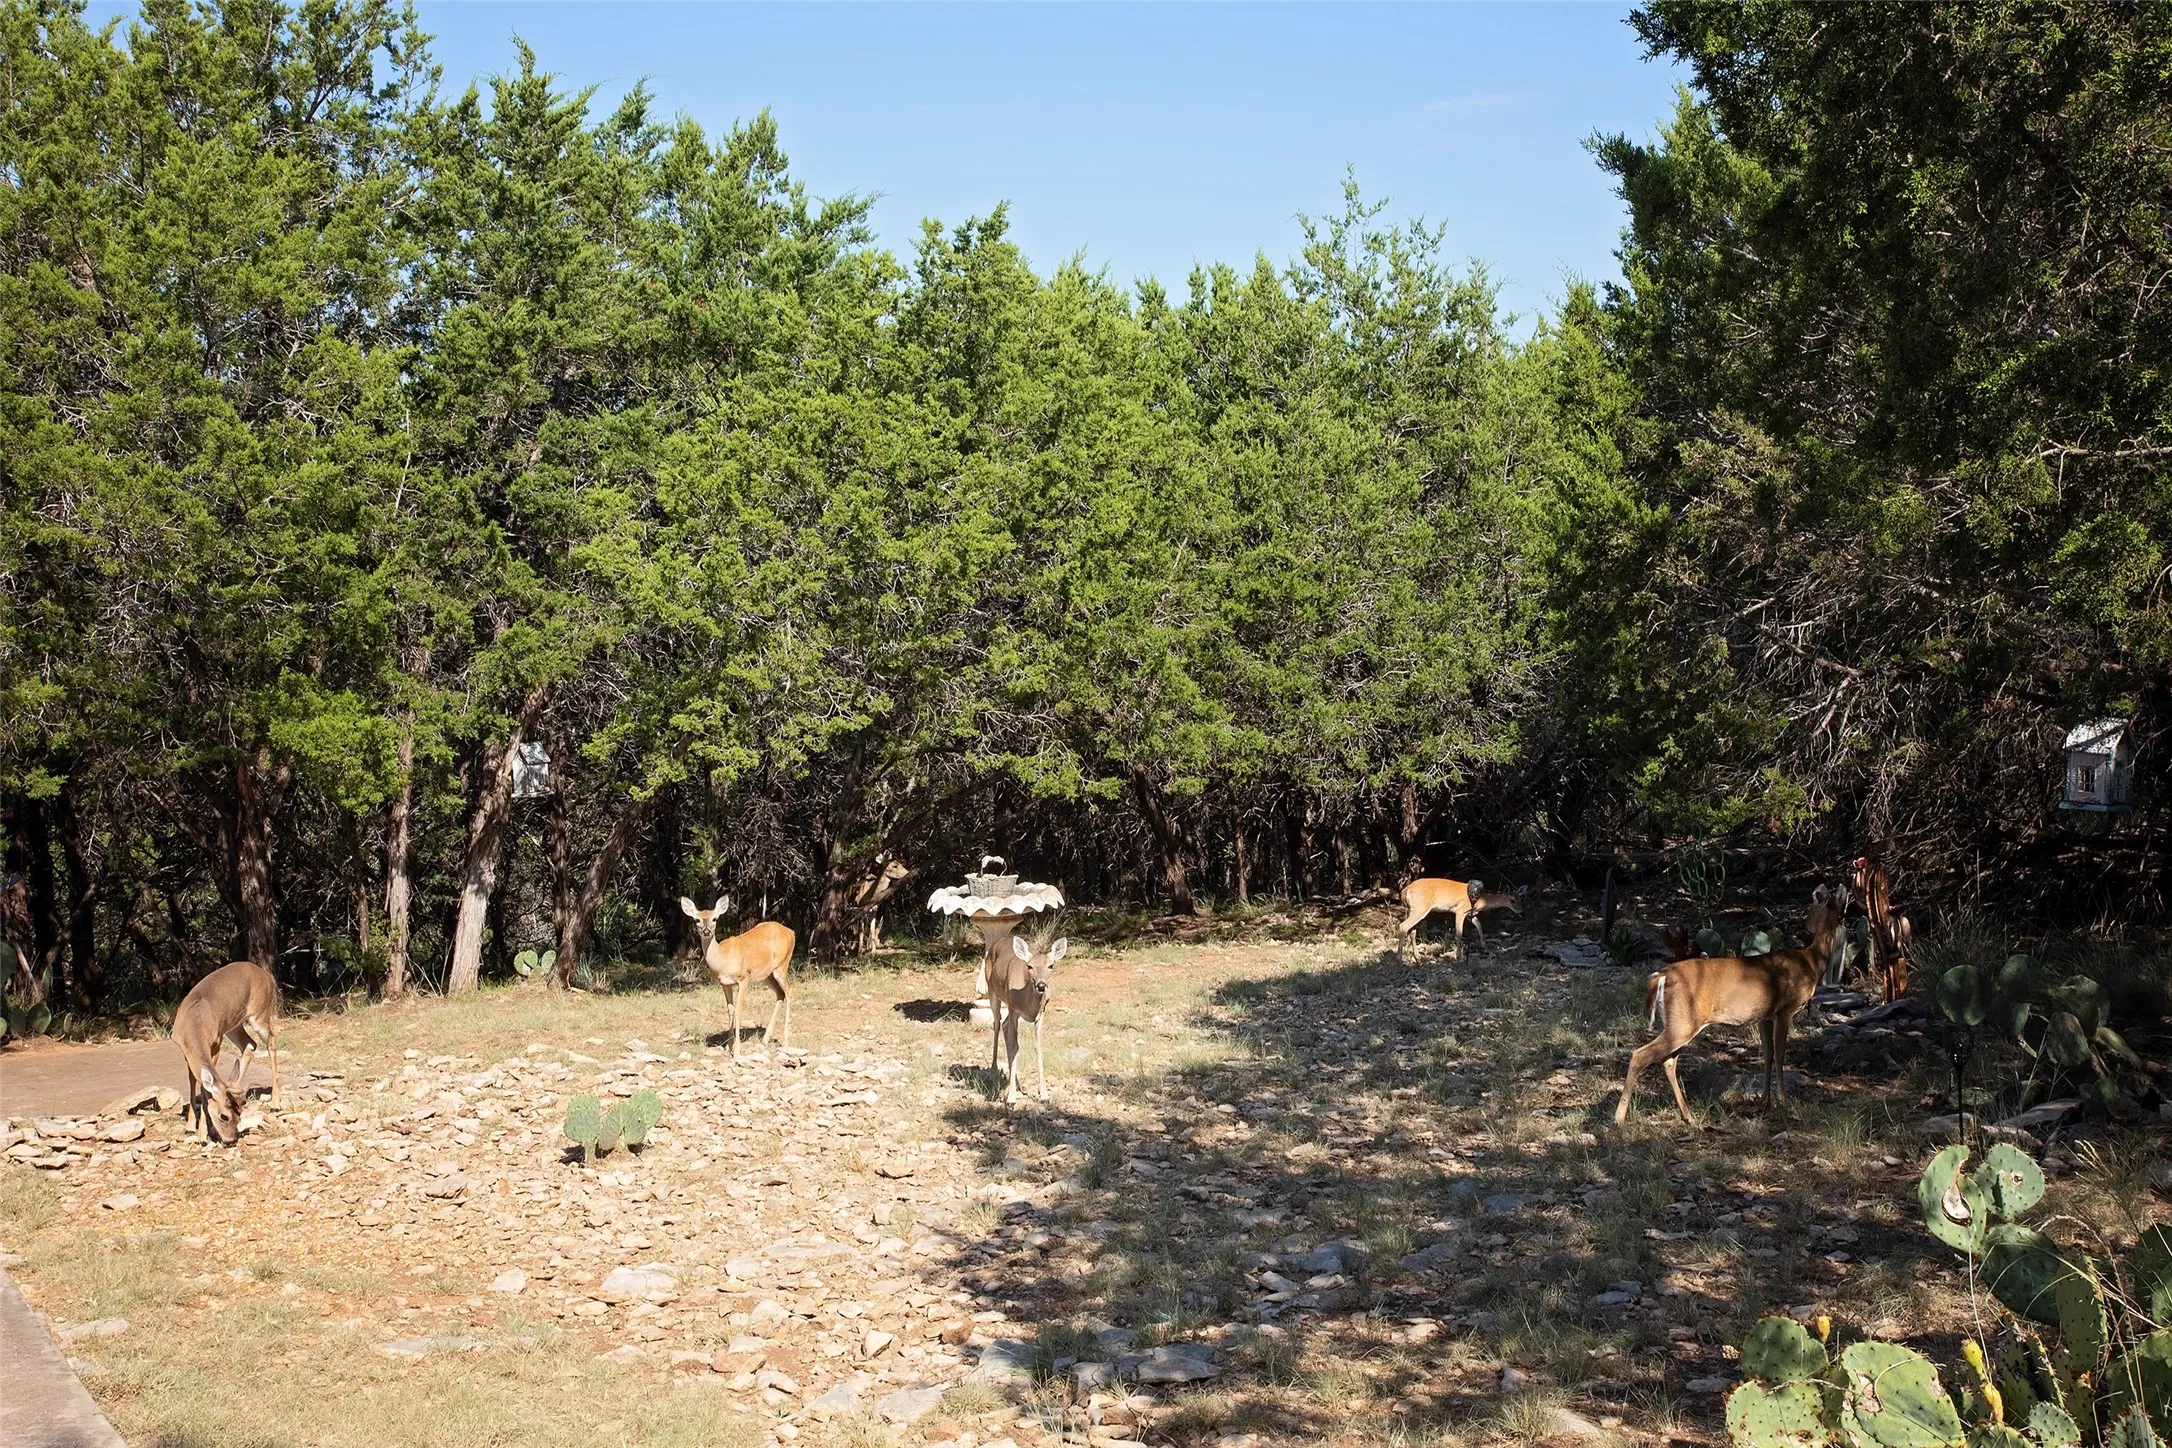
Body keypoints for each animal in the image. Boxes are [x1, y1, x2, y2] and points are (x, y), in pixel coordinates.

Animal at [171, 960, 280, 1145]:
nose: (231, 1140)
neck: (194, 1022)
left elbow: (205, 1088)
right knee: (249, 1045)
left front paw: (202, 1136)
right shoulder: (185, 1051)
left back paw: (275, 1104)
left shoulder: (215, 1044)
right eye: (225, 1116)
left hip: (259, 1015)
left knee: (271, 1042)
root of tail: (267, 976)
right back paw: (235, 1085)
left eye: (240, 1116)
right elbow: (193, 1081)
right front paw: (190, 1127)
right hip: (234, 1025)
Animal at [679, 897, 795, 1062]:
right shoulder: (725, 983)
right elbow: (730, 1010)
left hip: (782, 965)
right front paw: (729, 1045)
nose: (706, 931)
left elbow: (739, 1010)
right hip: (767, 975)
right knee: (780, 993)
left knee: (790, 991)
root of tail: (791, 932)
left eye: (714, 919)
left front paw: (737, 1051)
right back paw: (764, 1040)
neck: (723, 958)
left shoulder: (744, 977)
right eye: (697, 919)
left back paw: (785, 1041)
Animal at [990, 932, 1067, 1105]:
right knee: (997, 1024)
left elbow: (1038, 1047)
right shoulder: (1013, 1008)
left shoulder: (1041, 1013)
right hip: (993, 993)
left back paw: (1016, 1084)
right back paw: (994, 1070)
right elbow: (1014, 1047)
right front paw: (1011, 1099)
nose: (1041, 985)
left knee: (1004, 1025)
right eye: (1030, 966)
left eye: (1051, 965)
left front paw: (1044, 1094)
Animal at [1396, 876, 1527, 961]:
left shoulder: (1470, 914)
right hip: (1420, 908)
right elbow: (1459, 932)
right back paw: (1399, 957)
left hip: (1415, 910)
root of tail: (1404, 891)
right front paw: (1459, 956)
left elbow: (1479, 925)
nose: (1521, 911)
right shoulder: (1459, 911)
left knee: (1412, 931)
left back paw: (1417, 957)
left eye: (1520, 899)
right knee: (1403, 926)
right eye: (1512, 900)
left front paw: (1487, 950)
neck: (1480, 900)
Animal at [1614, 885, 1848, 1127]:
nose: (1846, 924)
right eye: (1842, 911)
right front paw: (1783, 1100)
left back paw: (1688, 1115)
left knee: (1668, 1060)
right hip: (1683, 1022)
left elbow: (1768, 1054)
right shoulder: (1785, 1010)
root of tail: (1662, 975)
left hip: (1678, 1022)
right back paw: (1619, 1118)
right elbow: (1780, 1054)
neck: (1811, 961)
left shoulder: (1765, 1015)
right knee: (1641, 1055)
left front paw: (1765, 1100)